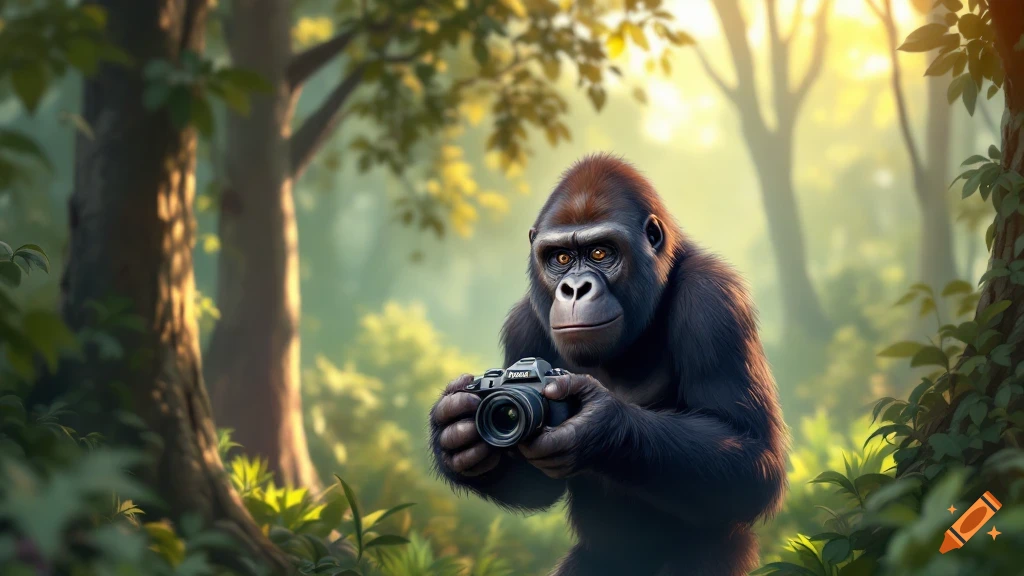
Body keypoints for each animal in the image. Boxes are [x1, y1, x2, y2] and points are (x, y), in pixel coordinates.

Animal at [429, 153, 788, 576]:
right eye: (561, 258)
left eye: (600, 253)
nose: (574, 289)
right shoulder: (522, 324)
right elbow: (535, 487)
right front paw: (454, 434)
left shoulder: (714, 300)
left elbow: (754, 461)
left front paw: (600, 427)